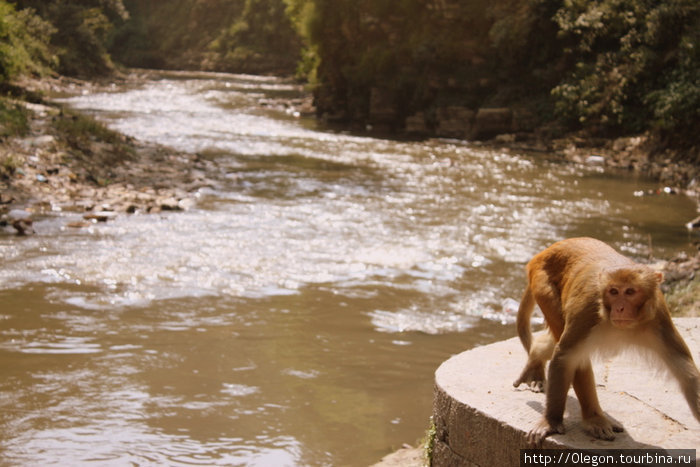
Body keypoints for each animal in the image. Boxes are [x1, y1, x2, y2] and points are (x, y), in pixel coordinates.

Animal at [512, 239, 700, 448]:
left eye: (630, 291)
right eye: (613, 291)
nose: (620, 308)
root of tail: (541, 255)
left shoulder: (659, 316)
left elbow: (685, 371)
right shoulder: (588, 310)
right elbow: (565, 357)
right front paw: (551, 422)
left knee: (557, 341)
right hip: (543, 284)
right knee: (570, 348)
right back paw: (594, 419)